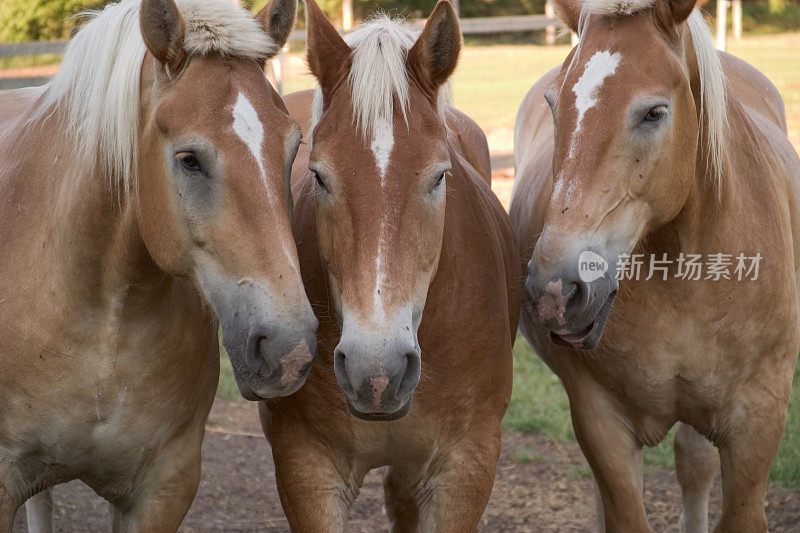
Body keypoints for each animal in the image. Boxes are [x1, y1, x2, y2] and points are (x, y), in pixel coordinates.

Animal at [512, 0, 800, 528]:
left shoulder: (759, 418)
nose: (556, 288)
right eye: (553, 105)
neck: (685, 281)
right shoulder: (600, 422)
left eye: (653, 113)